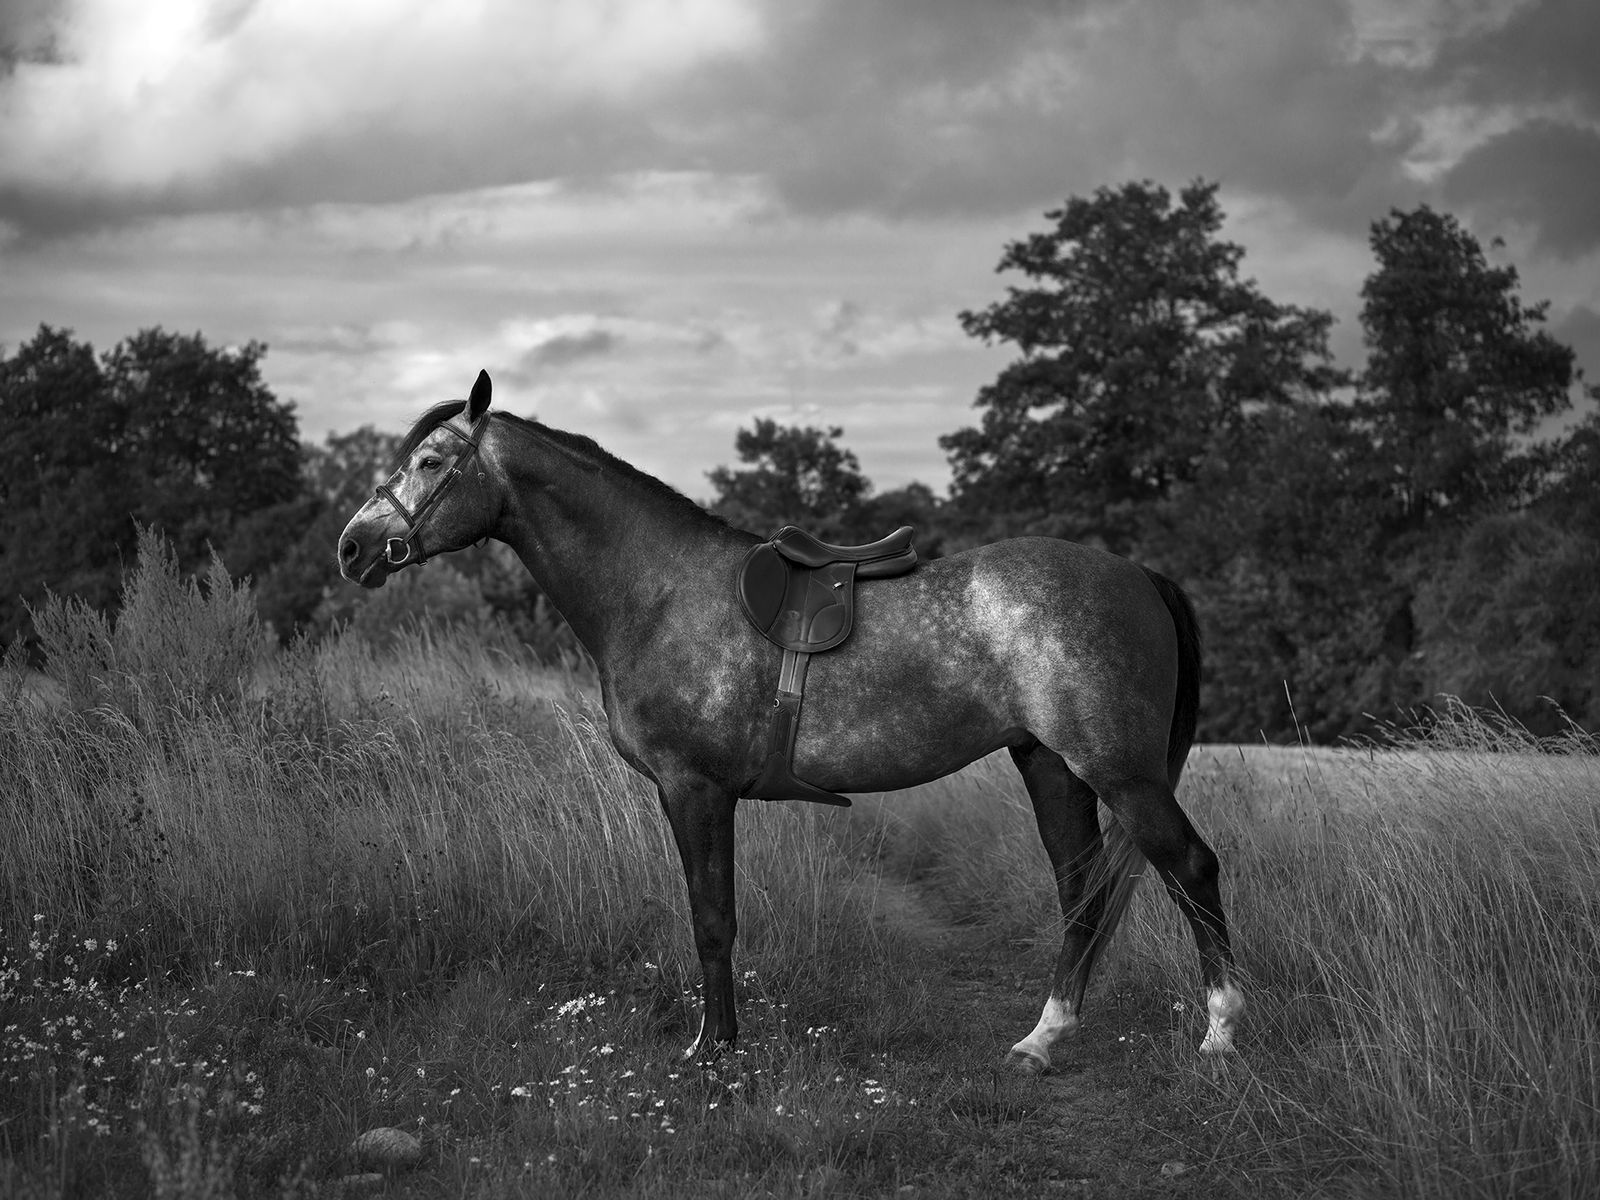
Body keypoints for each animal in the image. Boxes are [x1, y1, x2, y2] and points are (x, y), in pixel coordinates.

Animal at [337, 370, 1243, 1072]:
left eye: (429, 461)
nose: (351, 548)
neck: (658, 592)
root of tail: (1137, 574)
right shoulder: (698, 795)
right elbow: (715, 916)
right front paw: (721, 1043)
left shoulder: (693, 790)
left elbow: (712, 920)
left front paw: (714, 1052)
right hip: (1050, 766)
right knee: (1082, 893)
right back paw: (1042, 1042)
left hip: (1118, 771)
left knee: (1191, 869)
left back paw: (1222, 1037)